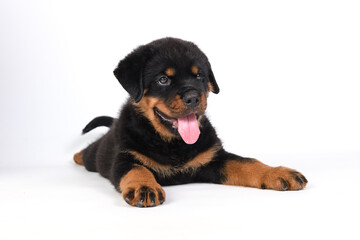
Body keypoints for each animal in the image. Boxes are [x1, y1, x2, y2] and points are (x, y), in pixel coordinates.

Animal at [73, 37, 306, 206]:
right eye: (163, 79)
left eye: (199, 76)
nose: (193, 97)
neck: (173, 144)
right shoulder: (125, 157)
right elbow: (137, 169)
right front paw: (145, 188)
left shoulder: (214, 158)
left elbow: (247, 162)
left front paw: (277, 172)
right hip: (97, 156)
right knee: (88, 153)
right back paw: (77, 156)